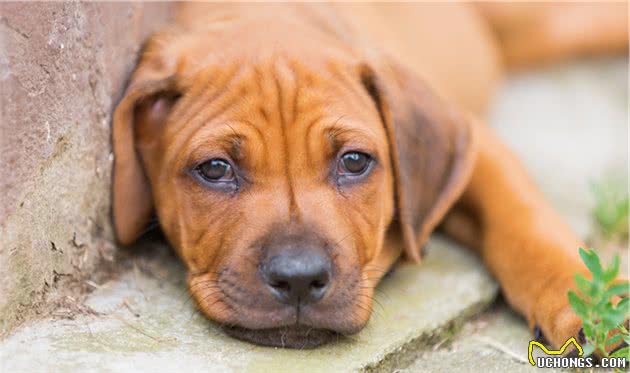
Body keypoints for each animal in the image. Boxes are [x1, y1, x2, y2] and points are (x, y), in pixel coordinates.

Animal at [112, 2, 628, 348]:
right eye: (216, 169)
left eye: (354, 162)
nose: (298, 279)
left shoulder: (479, 144)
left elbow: (522, 217)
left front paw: (595, 305)